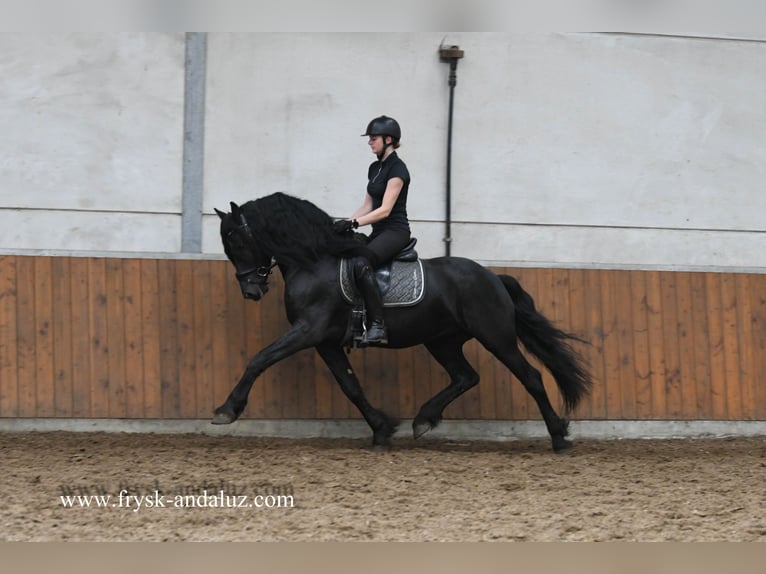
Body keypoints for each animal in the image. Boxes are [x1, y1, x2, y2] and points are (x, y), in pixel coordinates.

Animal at [213, 192, 591, 452]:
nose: (251, 290)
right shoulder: (325, 341)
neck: (314, 262)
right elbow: (350, 385)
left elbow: (259, 359)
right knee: (466, 376)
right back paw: (423, 419)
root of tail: (493, 277)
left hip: (495, 336)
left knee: (531, 377)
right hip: (442, 341)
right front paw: (381, 429)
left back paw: (559, 437)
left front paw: (226, 410)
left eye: (237, 241)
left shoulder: (309, 330)